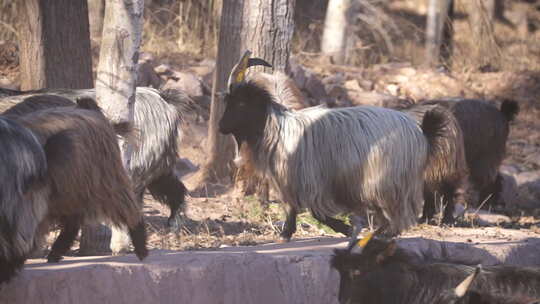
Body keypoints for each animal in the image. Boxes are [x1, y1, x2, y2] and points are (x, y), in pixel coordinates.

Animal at [0, 97, 148, 284]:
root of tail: (90, 111)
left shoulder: (21, 201)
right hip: (68, 187)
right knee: (73, 219)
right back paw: (55, 252)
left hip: (103, 178)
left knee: (126, 207)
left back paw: (141, 246)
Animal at [219, 50, 452, 240]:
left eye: (241, 102)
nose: (221, 126)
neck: (277, 128)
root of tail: (421, 134)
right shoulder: (293, 180)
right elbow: (292, 207)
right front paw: (287, 233)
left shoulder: (311, 180)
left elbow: (315, 211)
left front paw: (345, 229)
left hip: (387, 179)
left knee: (400, 211)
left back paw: (385, 233)